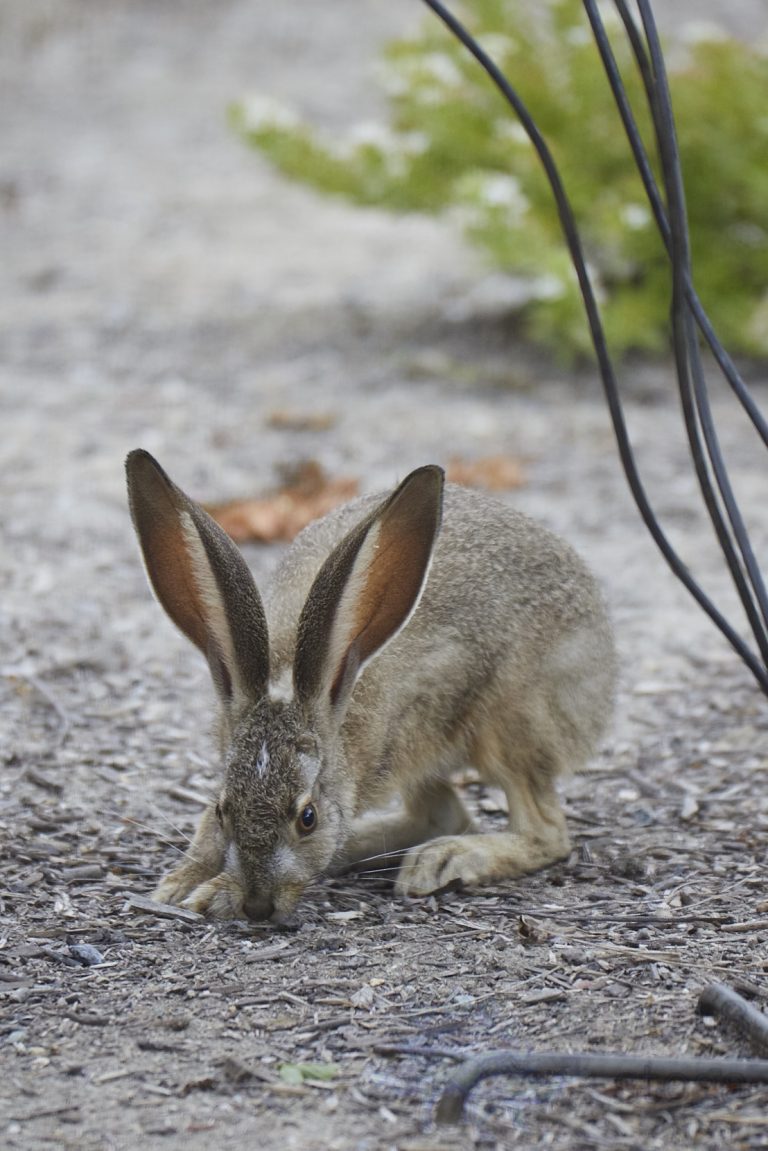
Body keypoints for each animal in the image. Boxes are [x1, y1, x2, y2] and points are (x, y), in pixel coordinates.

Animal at [126, 449, 616, 923]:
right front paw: (183, 883)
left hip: (508, 725)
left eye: (307, 818)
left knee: (543, 831)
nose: (259, 906)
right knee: (445, 813)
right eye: (223, 808)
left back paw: (443, 859)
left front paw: (215, 892)